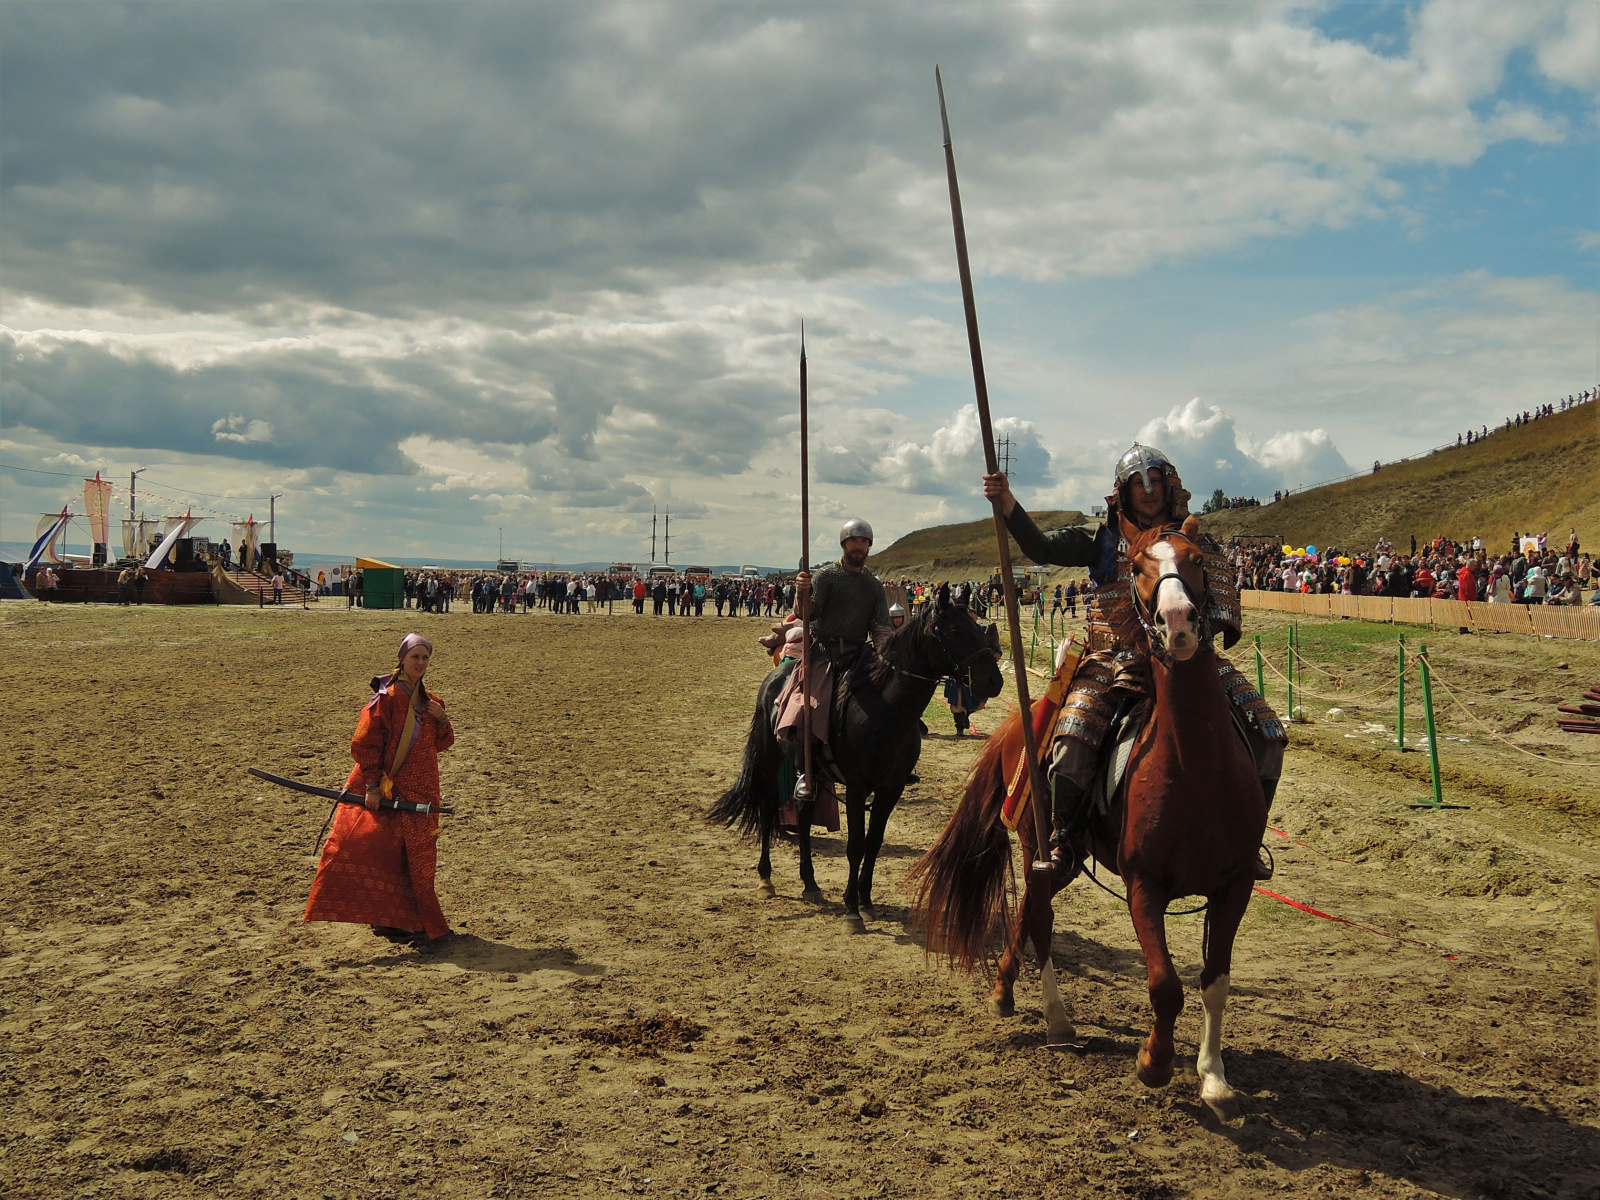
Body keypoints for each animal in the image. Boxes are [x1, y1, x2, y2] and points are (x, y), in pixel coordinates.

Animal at [710, 586, 1005, 932]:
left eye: (977, 628)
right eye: (955, 631)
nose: (993, 681)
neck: (887, 709)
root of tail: (776, 676)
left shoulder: (891, 789)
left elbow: (874, 842)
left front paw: (866, 901)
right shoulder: (856, 788)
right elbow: (856, 846)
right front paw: (852, 909)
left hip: (811, 771)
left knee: (804, 815)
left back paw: (810, 883)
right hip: (771, 760)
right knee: (769, 809)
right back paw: (766, 879)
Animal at [911, 516, 1267, 1118]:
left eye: (1199, 560)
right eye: (1140, 567)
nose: (1178, 623)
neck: (1195, 767)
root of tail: (1021, 722)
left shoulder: (1234, 885)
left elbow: (1213, 982)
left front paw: (1214, 1078)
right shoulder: (1144, 886)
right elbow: (1165, 984)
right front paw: (1154, 1062)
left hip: (1067, 857)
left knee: (1029, 909)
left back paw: (1005, 989)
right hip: (1039, 840)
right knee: (1039, 919)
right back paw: (1056, 1020)